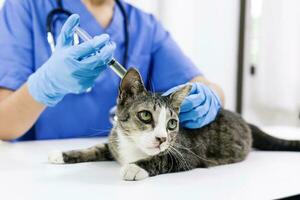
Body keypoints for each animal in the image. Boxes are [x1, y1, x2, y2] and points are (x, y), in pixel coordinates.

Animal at [48, 68, 300, 180]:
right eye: (145, 116)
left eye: (171, 124)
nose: (162, 138)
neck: (133, 148)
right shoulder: (115, 140)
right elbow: (98, 147)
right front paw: (63, 154)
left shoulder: (186, 153)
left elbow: (163, 159)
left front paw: (136, 167)